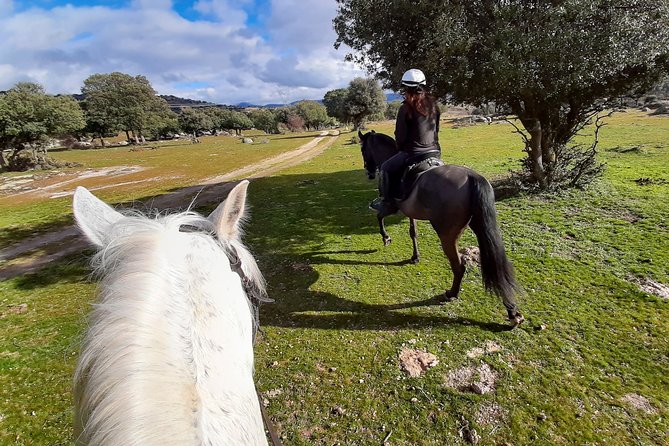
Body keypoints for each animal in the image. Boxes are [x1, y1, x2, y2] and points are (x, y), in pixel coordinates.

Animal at [358, 131, 524, 326]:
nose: (369, 172)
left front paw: (386, 237)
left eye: (363, 149)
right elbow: (413, 232)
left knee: (459, 267)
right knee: (498, 266)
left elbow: (380, 216)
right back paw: (512, 312)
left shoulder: (392, 207)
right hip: (482, 228)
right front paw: (415, 256)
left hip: (447, 236)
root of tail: (472, 177)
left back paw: (452, 293)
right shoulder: (410, 211)